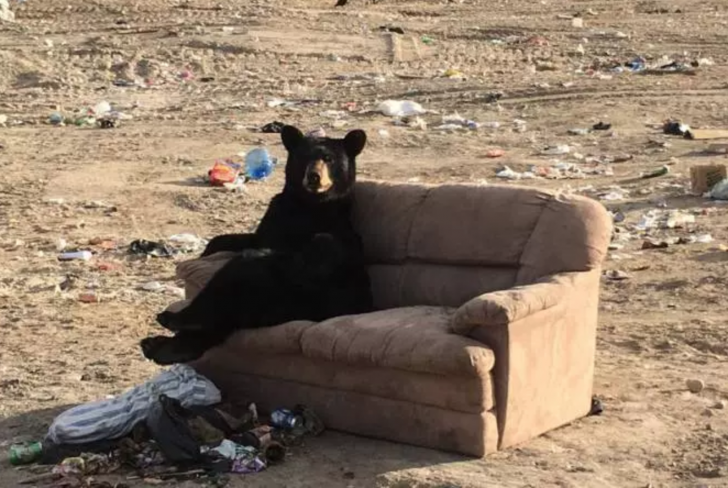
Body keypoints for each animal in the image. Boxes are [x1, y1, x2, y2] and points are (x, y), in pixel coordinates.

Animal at [140, 126, 372, 366]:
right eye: (304, 157)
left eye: (329, 159)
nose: (314, 176)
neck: (308, 204)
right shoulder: (274, 218)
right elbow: (235, 239)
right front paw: (208, 250)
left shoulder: (333, 228)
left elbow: (325, 246)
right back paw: (161, 345)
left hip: (295, 299)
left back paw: (173, 322)